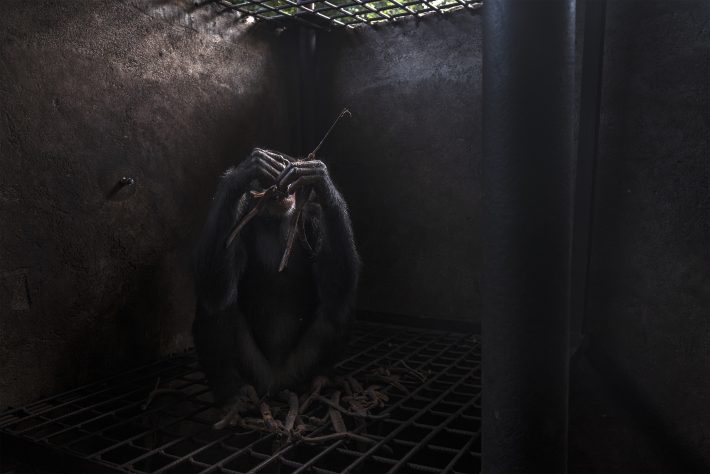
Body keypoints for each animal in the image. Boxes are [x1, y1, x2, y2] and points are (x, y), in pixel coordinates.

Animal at [192, 149, 362, 408]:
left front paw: (317, 176)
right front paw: (245, 171)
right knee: (216, 304)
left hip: (302, 364)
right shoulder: (239, 220)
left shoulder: (313, 218)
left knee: (339, 305)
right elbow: (215, 288)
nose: (284, 189)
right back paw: (230, 387)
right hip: (255, 370)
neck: (275, 219)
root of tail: (278, 381)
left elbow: (337, 287)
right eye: (271, 179)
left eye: (287, 169)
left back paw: (322, 377)